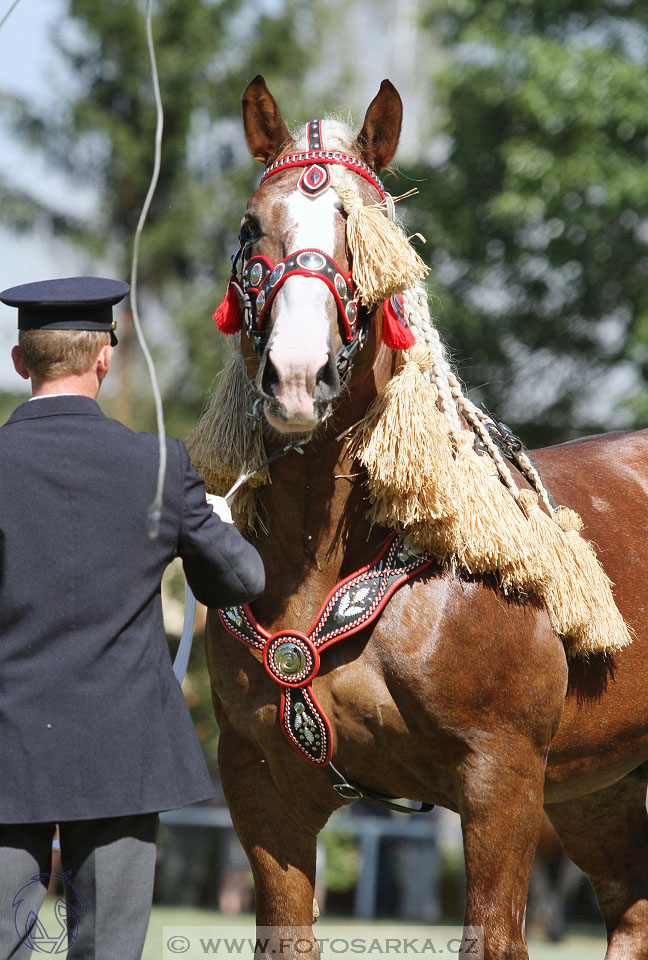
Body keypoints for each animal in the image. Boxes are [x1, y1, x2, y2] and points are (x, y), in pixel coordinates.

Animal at [205, 77, 648, 960]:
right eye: (249, 227)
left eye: (371, 232)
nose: (297, 375)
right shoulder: (261, 786)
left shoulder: (502, 780)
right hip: (600, 789)